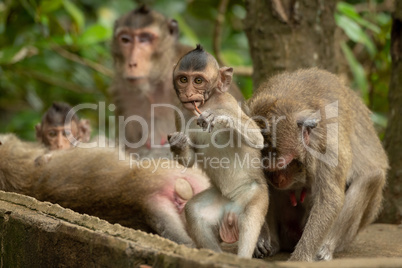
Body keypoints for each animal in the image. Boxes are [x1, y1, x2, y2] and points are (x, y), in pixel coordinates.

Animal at [168, 45, 268, 258]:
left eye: (198, 81)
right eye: (183, 79)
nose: (188, 93)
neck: (206, 103)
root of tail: (231, 210)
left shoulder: (229, 101)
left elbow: (257, 139)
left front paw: (218, 116)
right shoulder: (179, 111)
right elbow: (188, 161)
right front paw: (178, 143)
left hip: (254, 194)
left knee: (250, 219)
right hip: (218, 201)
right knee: (194, 212)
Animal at [247, 67, 388, 262]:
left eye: (285, 164)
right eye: (267, 169)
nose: (278, 180)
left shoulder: (329, 142)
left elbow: (330, 198)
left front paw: (299, 259)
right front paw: (259, 240)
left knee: (370, 177)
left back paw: (325, 248)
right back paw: (272, 243)